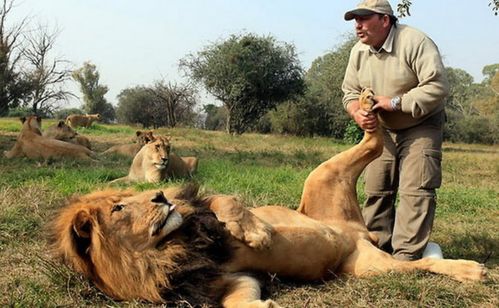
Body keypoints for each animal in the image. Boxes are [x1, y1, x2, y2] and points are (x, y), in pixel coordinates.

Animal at [50, 88, 488, 306]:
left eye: (127, 198)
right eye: (120, 208)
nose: (160, 195)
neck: (167, 249)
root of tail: (358, 233)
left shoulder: (204, 207)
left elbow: (226, 202)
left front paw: (258, 234)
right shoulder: (226, 279)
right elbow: (237, 299)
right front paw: (264, 305)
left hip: (322, 175)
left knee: (372, 139)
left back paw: (366, 102)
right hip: (369, 267)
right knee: (419, 264)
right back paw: (469, 270)